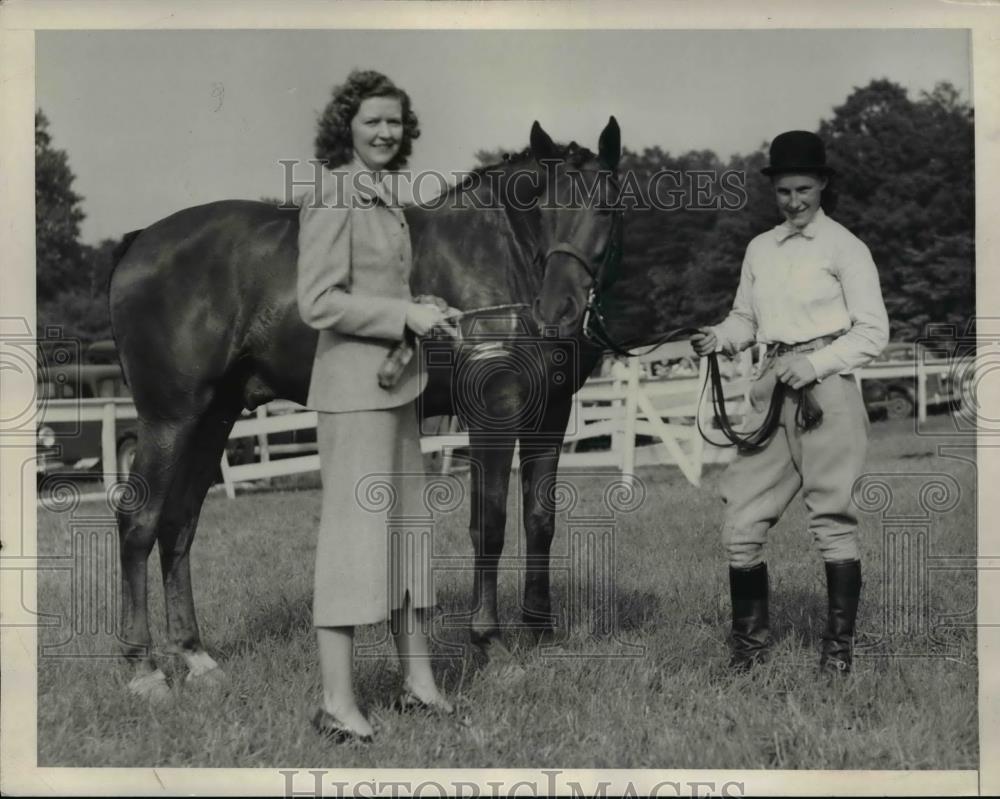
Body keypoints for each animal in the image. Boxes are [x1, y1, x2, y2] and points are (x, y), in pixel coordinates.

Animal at [113, 115, 620, 696]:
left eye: (606, 207)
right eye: (545, 207)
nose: (559, 310)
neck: (499, 252)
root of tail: (140, 243)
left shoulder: (549, 414)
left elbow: (540, 518)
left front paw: (539, 631)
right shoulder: (493, 411)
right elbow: (489, 524)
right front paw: (491, 644)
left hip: (213, 418)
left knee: (178, 524)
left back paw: (196, 656)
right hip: (169, 419)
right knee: (139, 522)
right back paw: (144, 668)